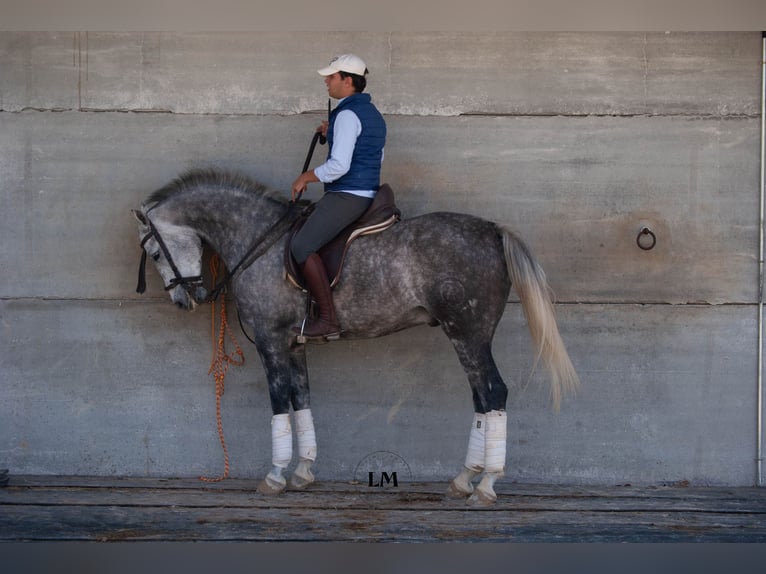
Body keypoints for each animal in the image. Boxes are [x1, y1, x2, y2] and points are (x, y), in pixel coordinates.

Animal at [133, 167, 579, 506]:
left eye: (154, 253)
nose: (186, 300)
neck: (259, 240)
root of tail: (491, 230)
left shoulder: (271, 342)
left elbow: (279, 404)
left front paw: (275, 476)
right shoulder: (293, 345)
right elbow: (301, 400)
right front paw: (303, 472)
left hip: (468, 333)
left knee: (493, 392)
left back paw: (485, 485)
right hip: (471, 336)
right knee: (482, 400)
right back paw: (463, 479)